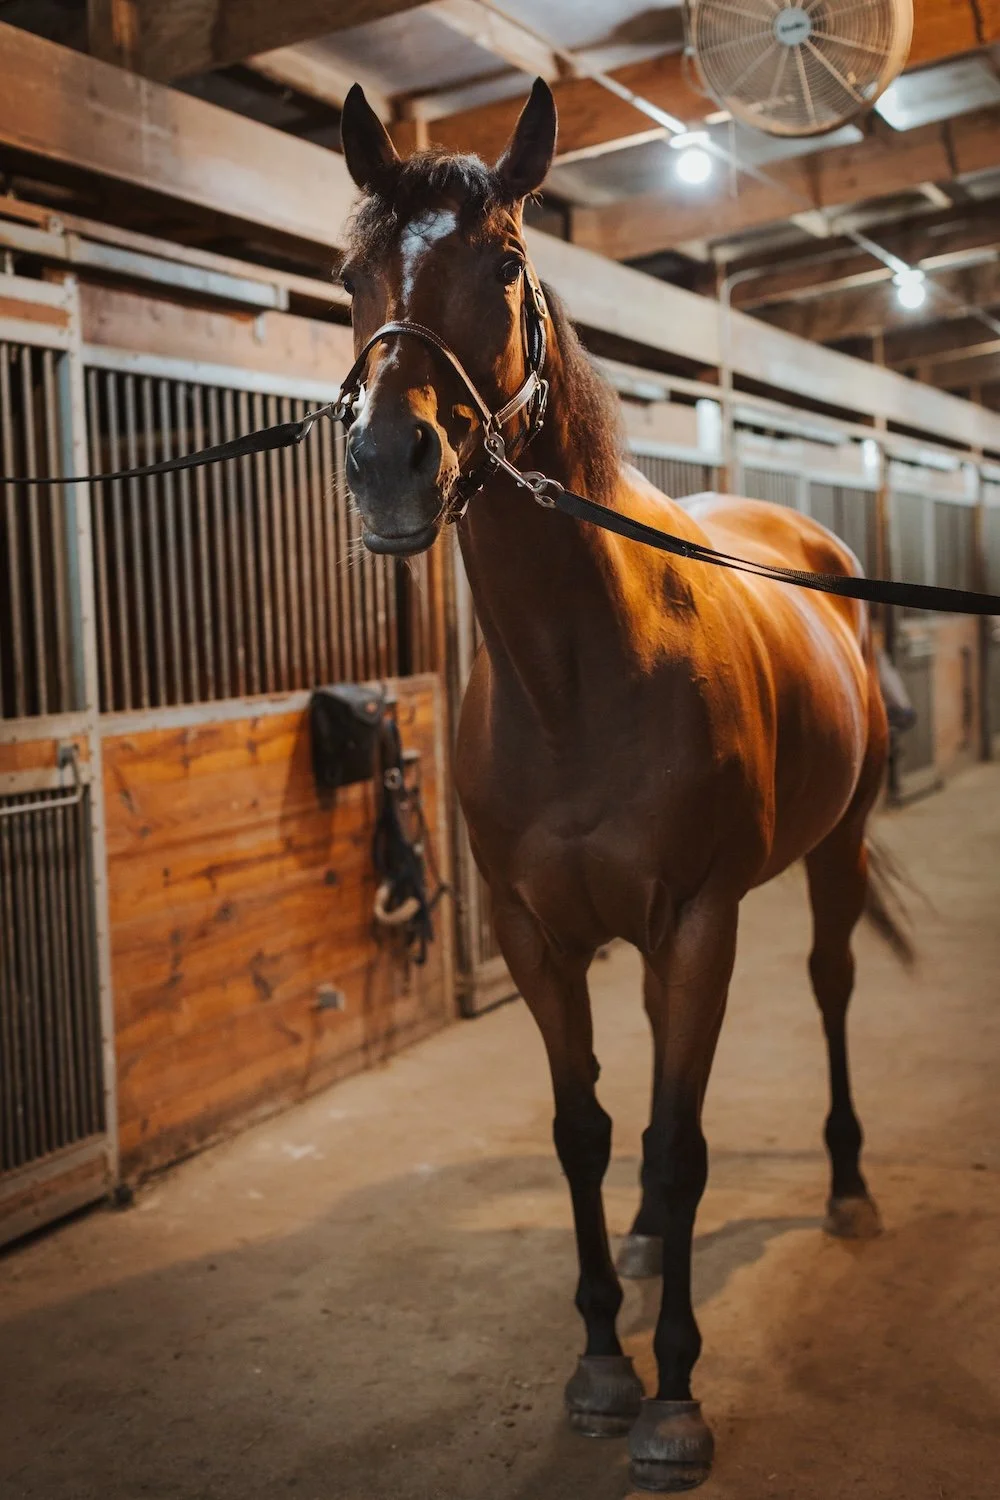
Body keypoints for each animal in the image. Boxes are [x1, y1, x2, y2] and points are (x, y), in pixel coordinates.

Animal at [337, 78, 910, 1493]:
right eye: (353, 272)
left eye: (506, 262)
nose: (388, 463)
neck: (577, 677)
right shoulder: (537, 938)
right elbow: (588, 1132)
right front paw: (605, 1360)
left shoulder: (697, 921)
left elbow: (688, 1141)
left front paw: (677, 1394)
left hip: (832, 856)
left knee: (827, 991)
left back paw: (847, 1190)